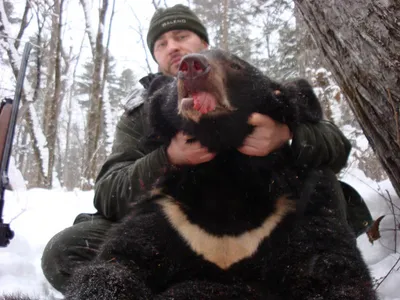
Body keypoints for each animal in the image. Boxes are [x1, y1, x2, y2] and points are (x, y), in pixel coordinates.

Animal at [63, 49, 378, 300]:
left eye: (236, 65)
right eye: (175, 81)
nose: (191, 65)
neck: (224, 172)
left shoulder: (290, 212)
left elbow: (326, 267)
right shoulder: (171, 215)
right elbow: (120, 261)